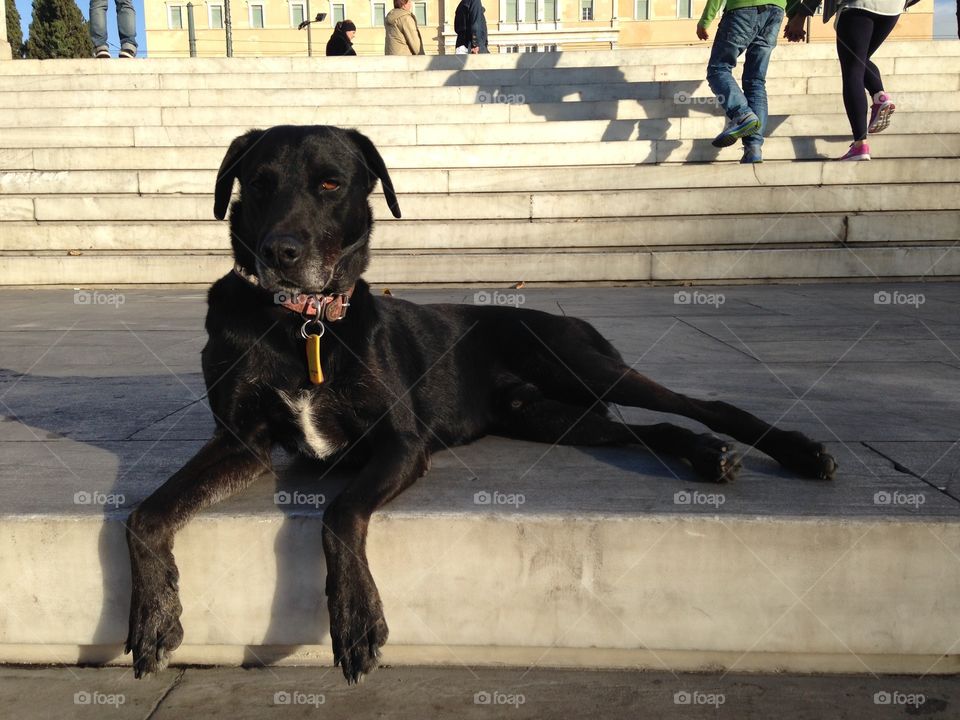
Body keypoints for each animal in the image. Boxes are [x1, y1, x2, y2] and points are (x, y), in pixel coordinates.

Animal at [125, 126, 832, 684]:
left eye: (329, 184)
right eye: (259, 182)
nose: (280, 254)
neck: (303, 325)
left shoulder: (400, 443)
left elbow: (339, 512)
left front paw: (355, 618)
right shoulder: (240, 441)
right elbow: (147, 514)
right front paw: (153, 617)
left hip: (584, 368)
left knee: (700, 402)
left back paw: (793, 450)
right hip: (551, 417)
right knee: (649, 429)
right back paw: (706, 457)